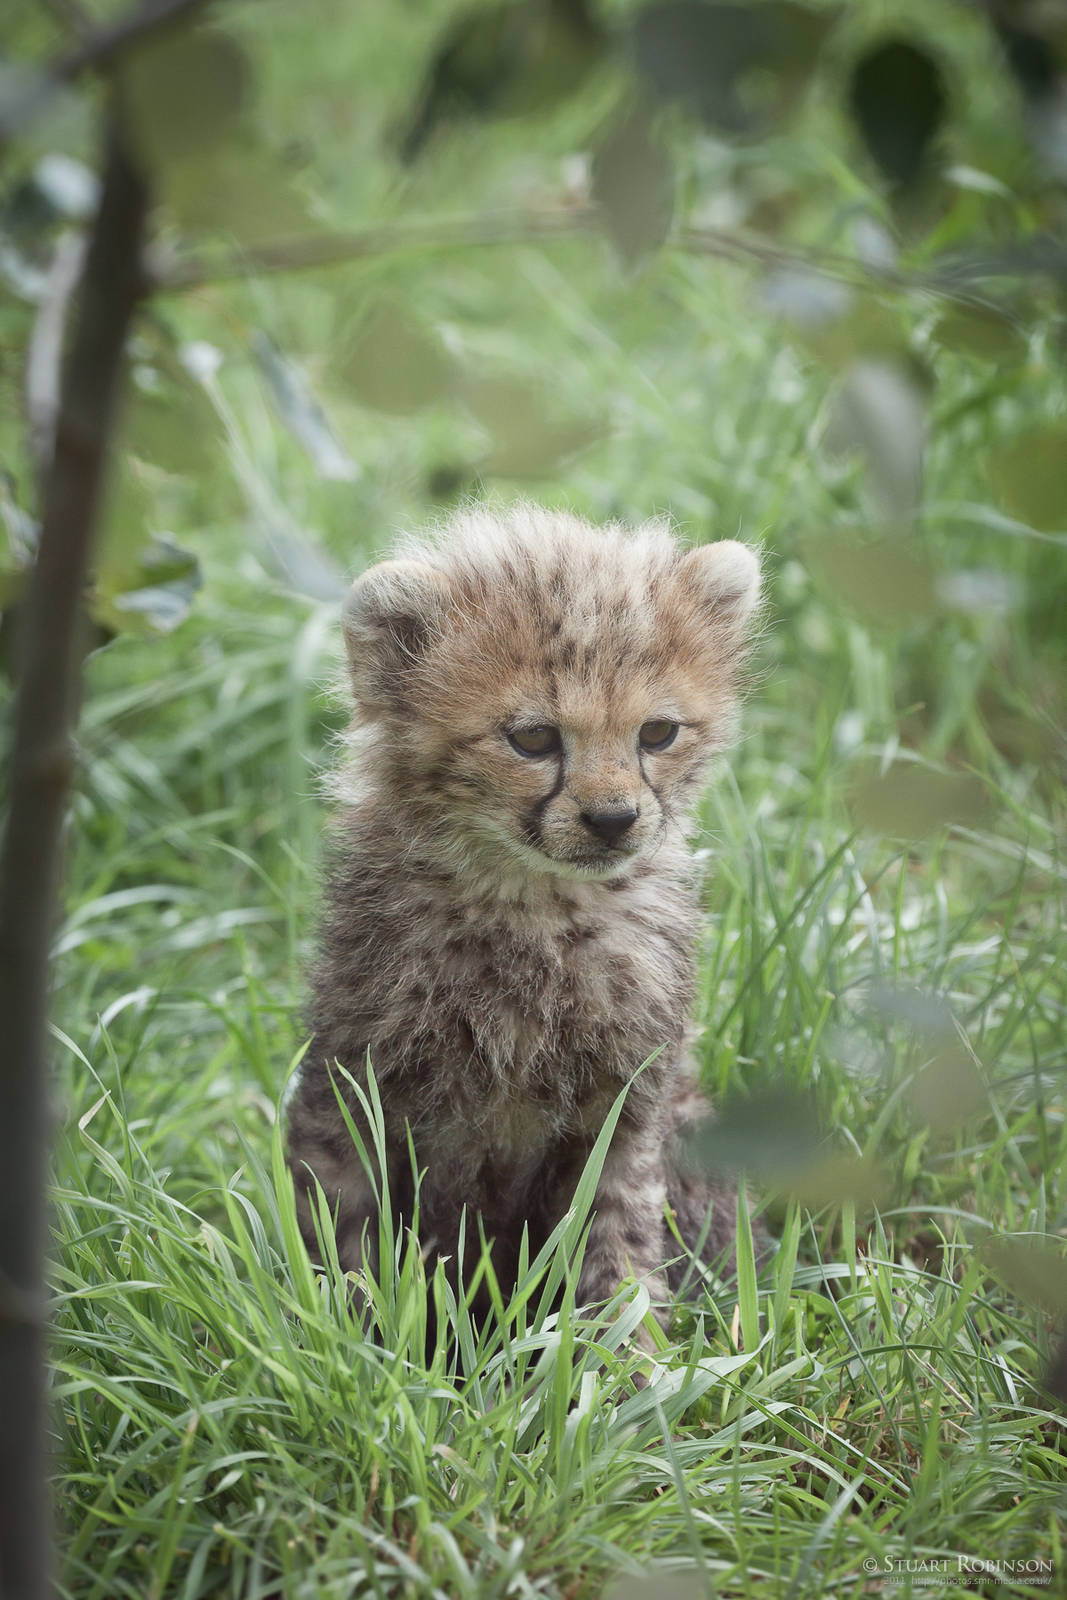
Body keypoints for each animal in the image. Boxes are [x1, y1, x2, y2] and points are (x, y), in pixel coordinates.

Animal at [286, 503, 764, 1341]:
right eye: (534, 738)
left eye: (657, 733)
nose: (613, 820)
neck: (534, 904)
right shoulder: (352, 1082)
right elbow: (344, 1231)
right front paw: (352, 1345)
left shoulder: (626, 1104)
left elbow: (614, 1241)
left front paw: (625, 1363)